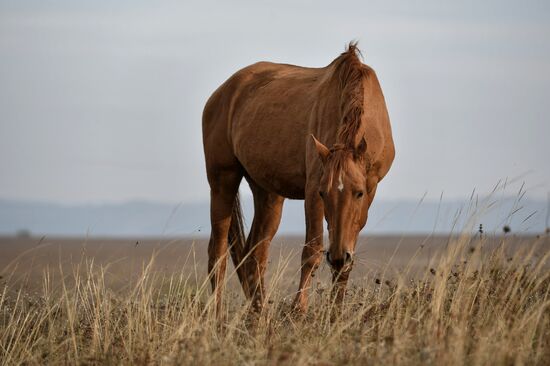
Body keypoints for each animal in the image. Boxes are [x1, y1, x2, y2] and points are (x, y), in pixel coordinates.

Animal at [203, 41, 396, 314]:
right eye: (324, 193)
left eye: (358, 193)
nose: (337, 257)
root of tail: (223, 92)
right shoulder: (313, 188)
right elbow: (312, 251)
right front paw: (298, 311)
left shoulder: (370, 188)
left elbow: (348, 252)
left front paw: (335, 312)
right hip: (223, 180)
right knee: (217, 252)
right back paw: (217, 316)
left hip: (268, 193)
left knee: (255, 254)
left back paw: (259, 314)